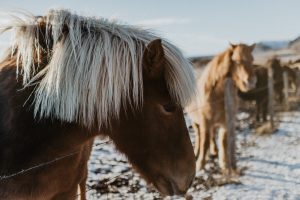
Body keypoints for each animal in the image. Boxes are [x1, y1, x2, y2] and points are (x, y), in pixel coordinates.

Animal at [186, 43, 256, 173]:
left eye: (252, 60)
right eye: (237, 60)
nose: (251, 82)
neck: (218, 93)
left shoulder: (225, 122)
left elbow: (223, 142)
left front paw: (224, 164)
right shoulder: (205, 121)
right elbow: (204, 142)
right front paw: (200, 165)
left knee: (213, 135)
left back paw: (214, 151)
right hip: (195, 121)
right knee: (199, 136)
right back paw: (197, 152)